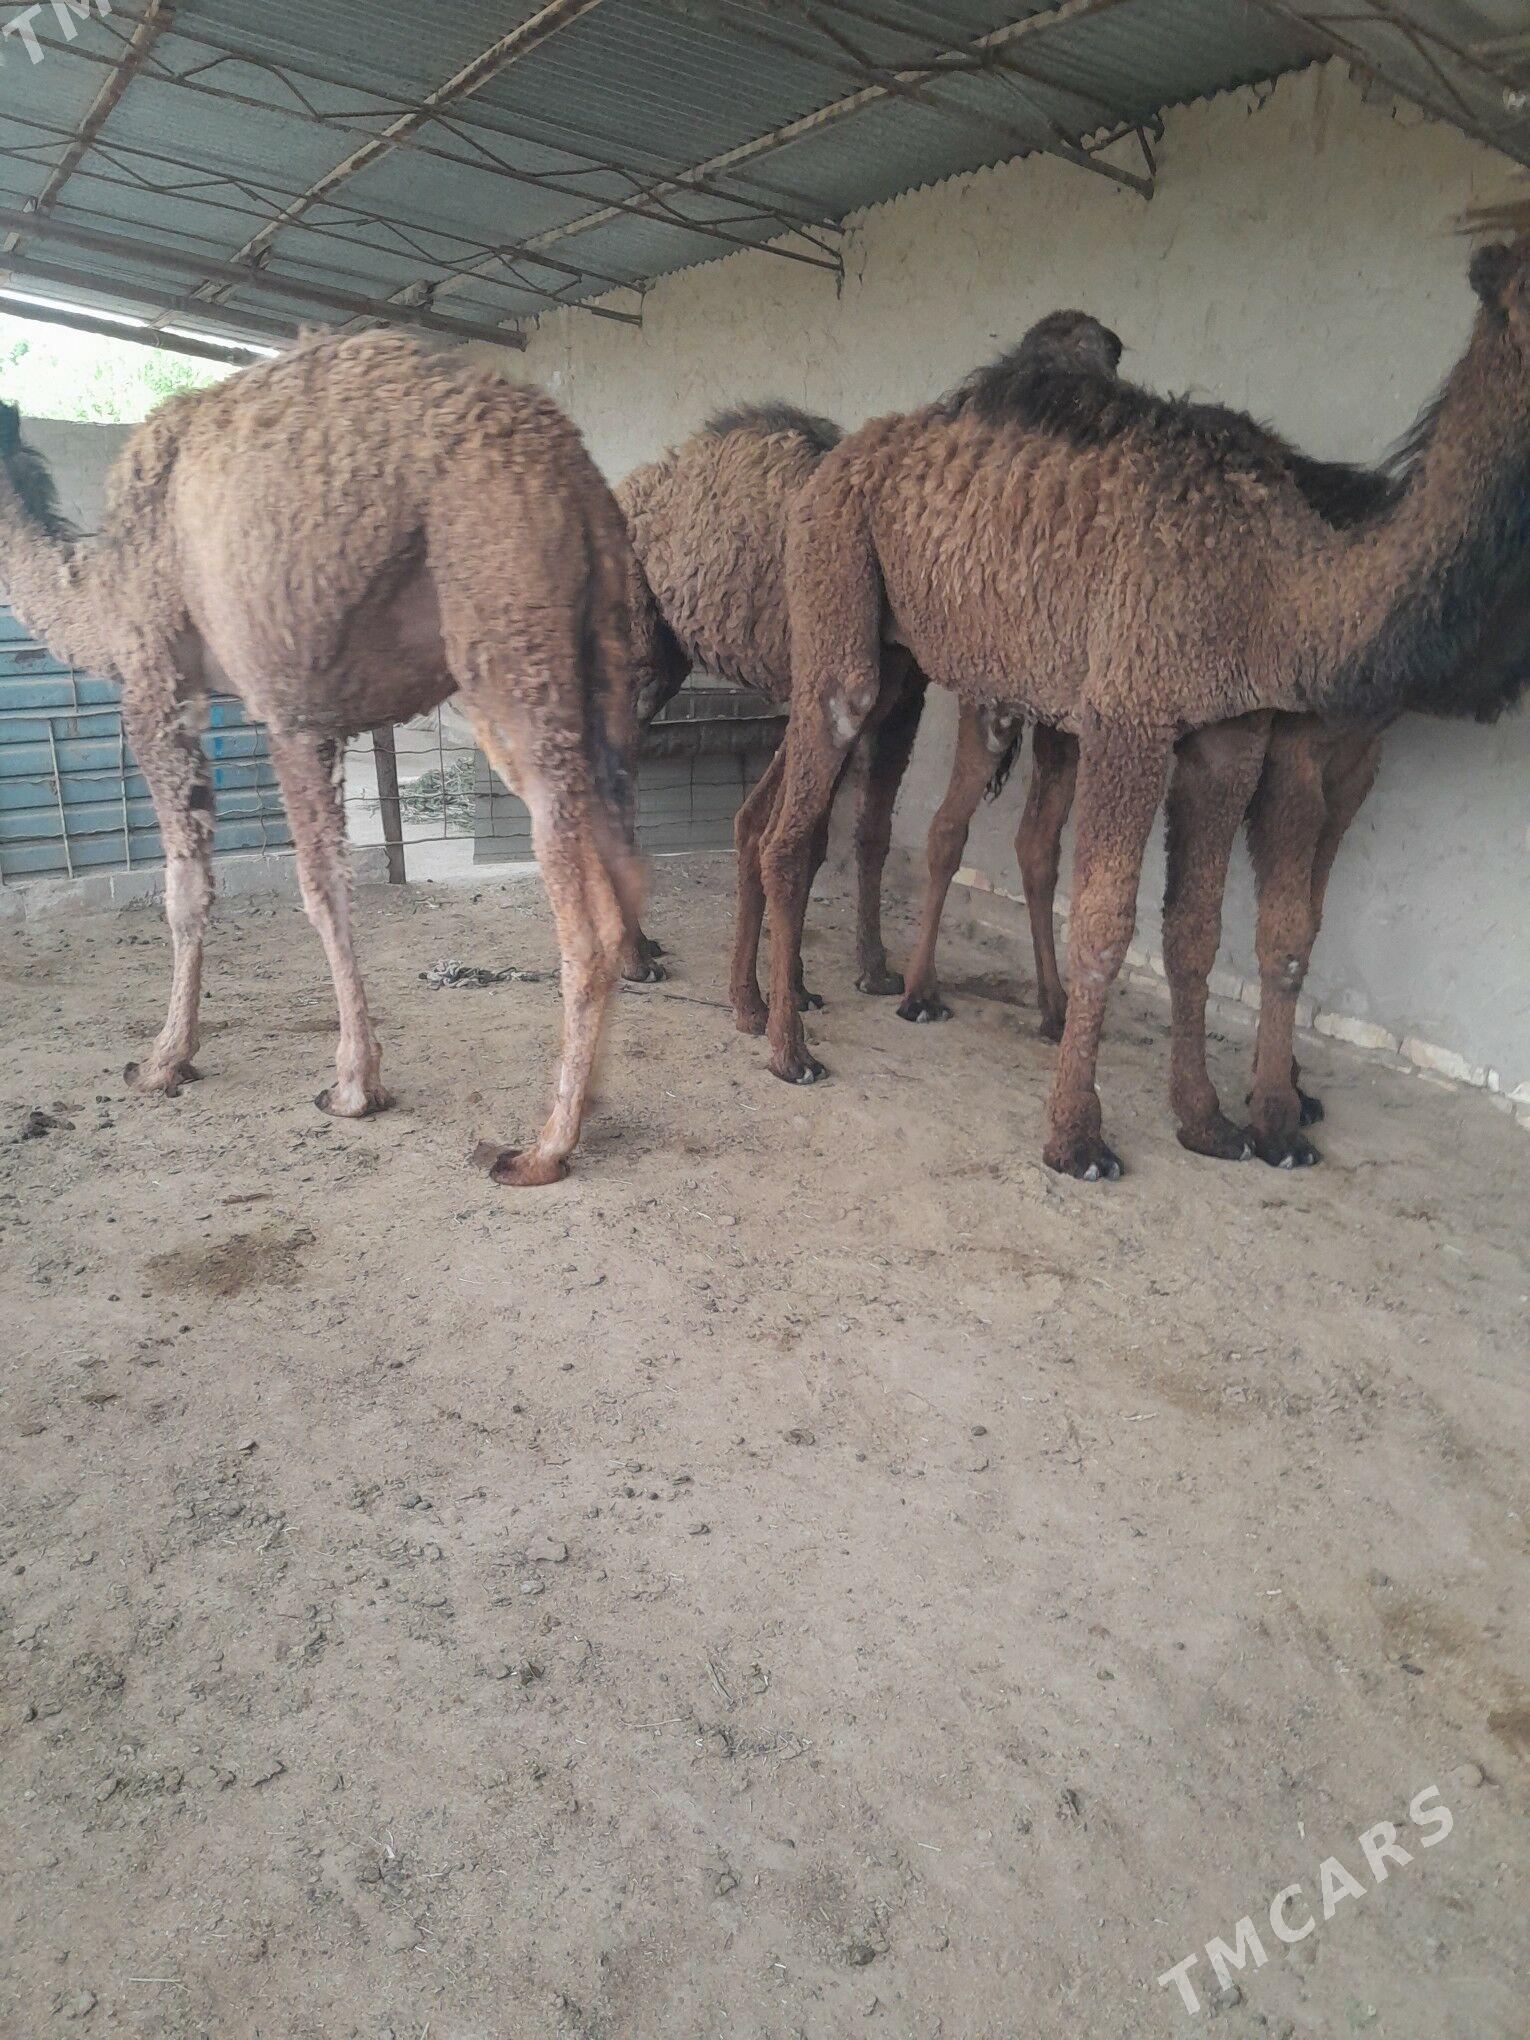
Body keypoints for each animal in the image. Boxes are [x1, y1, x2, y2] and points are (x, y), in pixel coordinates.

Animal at [0, 330, 643, 1187]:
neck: (97, 587)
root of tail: (578, 475)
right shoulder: (309, 712)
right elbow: (323, 885)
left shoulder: (170, 683)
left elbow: (222, 890)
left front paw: (181, 1063)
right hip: (597, 654)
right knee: (626, 862)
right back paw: (592, 1094)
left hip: (500, 623)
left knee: (585, 912)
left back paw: (543, 1146)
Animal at [615, 405, 927, 1014]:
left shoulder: (898, 697)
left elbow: (856, 833)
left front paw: (856, 978)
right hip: (633, 654)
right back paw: (633, 958)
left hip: (662, 660)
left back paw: (639, 945)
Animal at [755, 229, 1530, 1178]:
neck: (1281, 585)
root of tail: (837, 455)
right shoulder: (1140, 714)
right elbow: (1111, 922)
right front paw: (1082, 1134)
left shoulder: (1233, 733)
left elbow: (1200, 927)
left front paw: (1211, 1120)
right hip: (840, 575)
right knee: (812, 808)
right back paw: (792, 1043)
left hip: (931, 655)